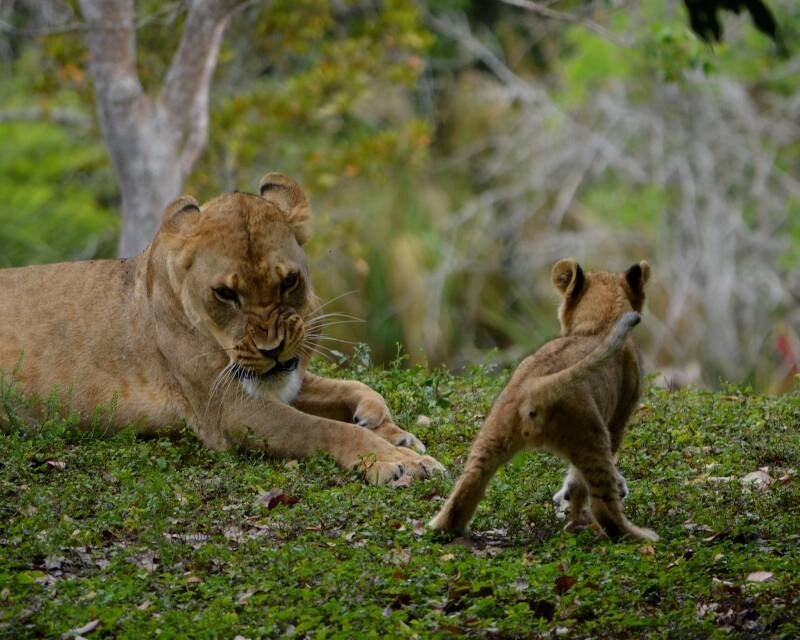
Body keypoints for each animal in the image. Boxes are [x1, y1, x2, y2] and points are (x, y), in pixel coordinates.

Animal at [0, 172, 444, 484]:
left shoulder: (280, 381)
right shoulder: (229, 411)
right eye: (226, 294)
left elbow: (353, 387)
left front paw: (388, 427)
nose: (272, 349)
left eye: (289, 281)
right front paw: (398, 461)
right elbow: (326, 429)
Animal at [429, 259, 658, 541]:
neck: (599, 323)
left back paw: (447, 527)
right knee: (603, 506)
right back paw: (638, 536)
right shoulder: (618, 417)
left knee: (469, 484)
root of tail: (534, 385)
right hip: (591, 435)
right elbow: (580, 479)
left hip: (491, 435)